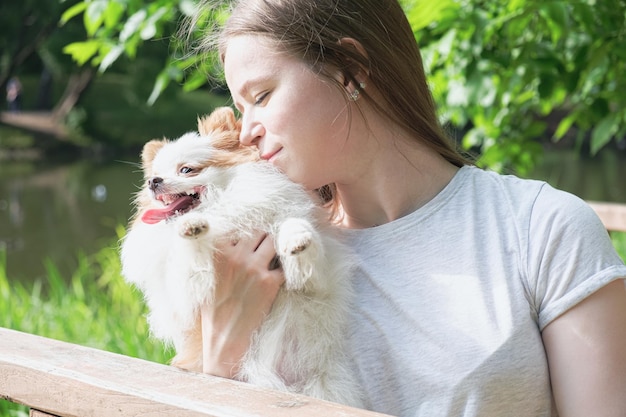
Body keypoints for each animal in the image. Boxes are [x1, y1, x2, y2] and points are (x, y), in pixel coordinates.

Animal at [119, 107, 360, 406]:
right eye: (153, 176)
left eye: (186, 169)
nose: (153, 182)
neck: (224, 210)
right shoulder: (188, 292)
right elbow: (190, 260)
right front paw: (191, 227)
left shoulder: (316, 284)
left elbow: (294, 229)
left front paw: (297, 237)